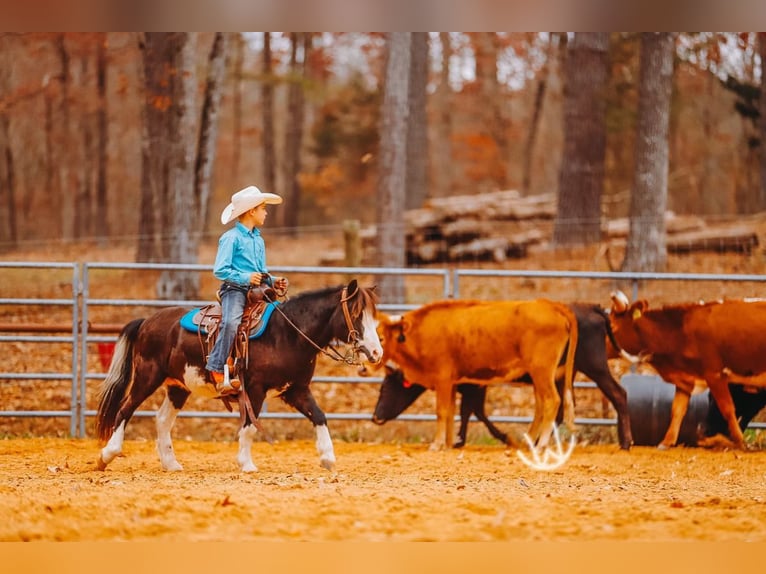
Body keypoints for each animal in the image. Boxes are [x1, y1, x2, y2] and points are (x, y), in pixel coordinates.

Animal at [94, 279, 382, 473]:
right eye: (356, 314)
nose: (377, 353)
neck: (288, 334)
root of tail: (146, 321)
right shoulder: (254, 389)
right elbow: (249, 425)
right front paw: (246, 463)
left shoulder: (296, 389)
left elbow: (319, 416)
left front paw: (328, 458)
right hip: (147, 376)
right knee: (125, 409)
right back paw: (107, 455)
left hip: (179, 386)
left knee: (163, 419)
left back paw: (171, 463)